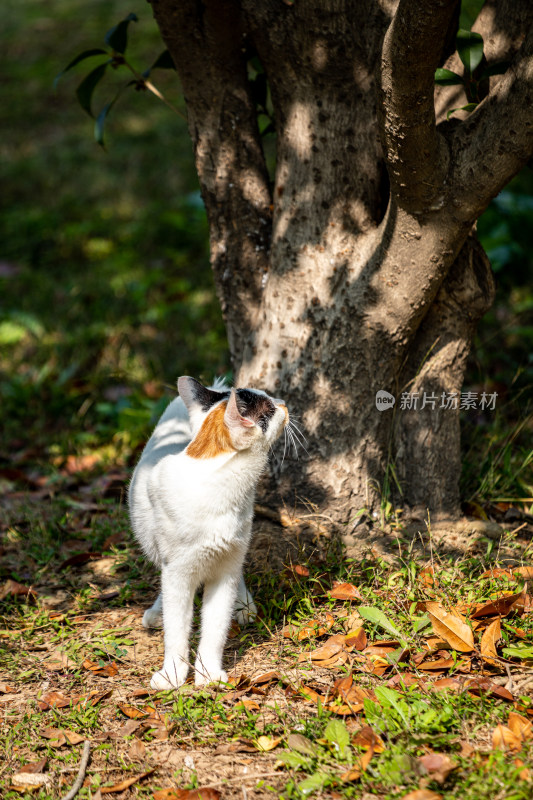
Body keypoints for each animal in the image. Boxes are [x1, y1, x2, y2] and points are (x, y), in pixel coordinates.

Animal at [128, 376, 288, 688]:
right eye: (271, 409)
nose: (284, 402)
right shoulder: (178, 572)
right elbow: (177, 628)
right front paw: (173, 674)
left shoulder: (225, 568)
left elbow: (215, 627)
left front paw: (209, 673)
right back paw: (157, 611)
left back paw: (243, 604)